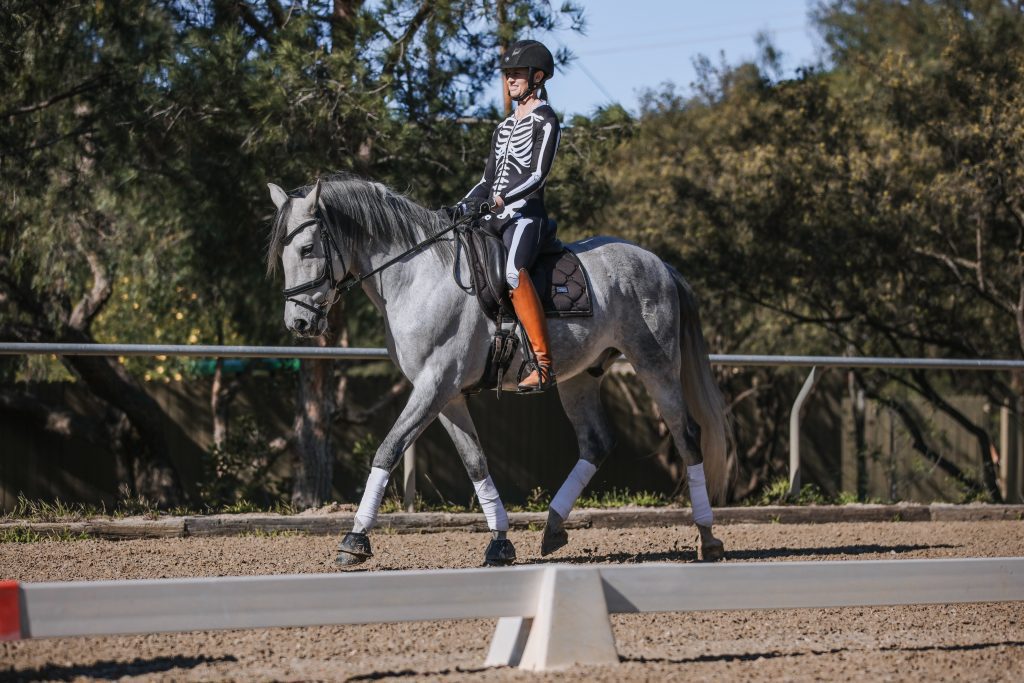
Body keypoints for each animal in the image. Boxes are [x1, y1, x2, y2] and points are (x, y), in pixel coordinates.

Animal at [266, 173, 732, 566]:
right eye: (282, 255)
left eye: (307, 249)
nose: (299, 323)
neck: (416, 275)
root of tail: (659, 264)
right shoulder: (446, 393)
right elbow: (475, 462)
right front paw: (500, 542)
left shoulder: (434, 385)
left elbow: (389, 449)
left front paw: (355, 540)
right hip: (580, 377)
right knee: (596, 442)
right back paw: (553, 528)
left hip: (655, 365)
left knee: (687, 436)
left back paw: (708, 538)